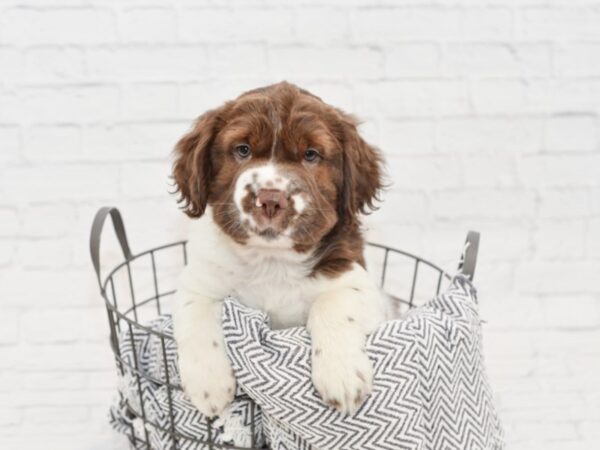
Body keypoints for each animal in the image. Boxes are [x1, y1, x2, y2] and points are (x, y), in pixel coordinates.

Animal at [171, 81, 392, 418]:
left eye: (311, 154)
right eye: (243, 149)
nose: (271, 199)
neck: (271, 260)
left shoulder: (356, 278)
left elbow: (333, 302)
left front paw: (341, 376)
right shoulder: (198, 280)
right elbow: (197, 312)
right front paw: (209, 385)